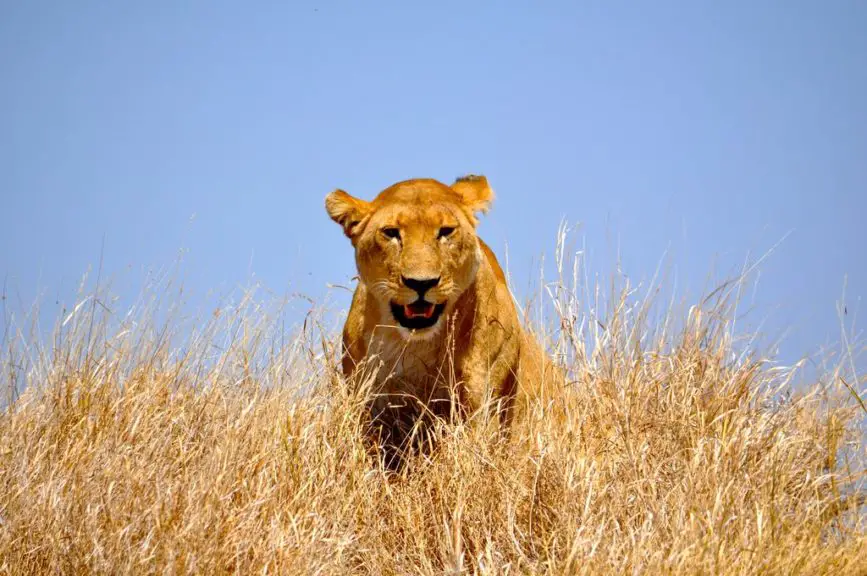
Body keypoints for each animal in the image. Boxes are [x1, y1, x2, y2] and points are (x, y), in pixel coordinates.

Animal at [326, 173, 564, 466]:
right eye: (391, 232)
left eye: (446, 231)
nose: (421, 283)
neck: (415, 344)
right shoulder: (368, 400)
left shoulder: (480, 401)